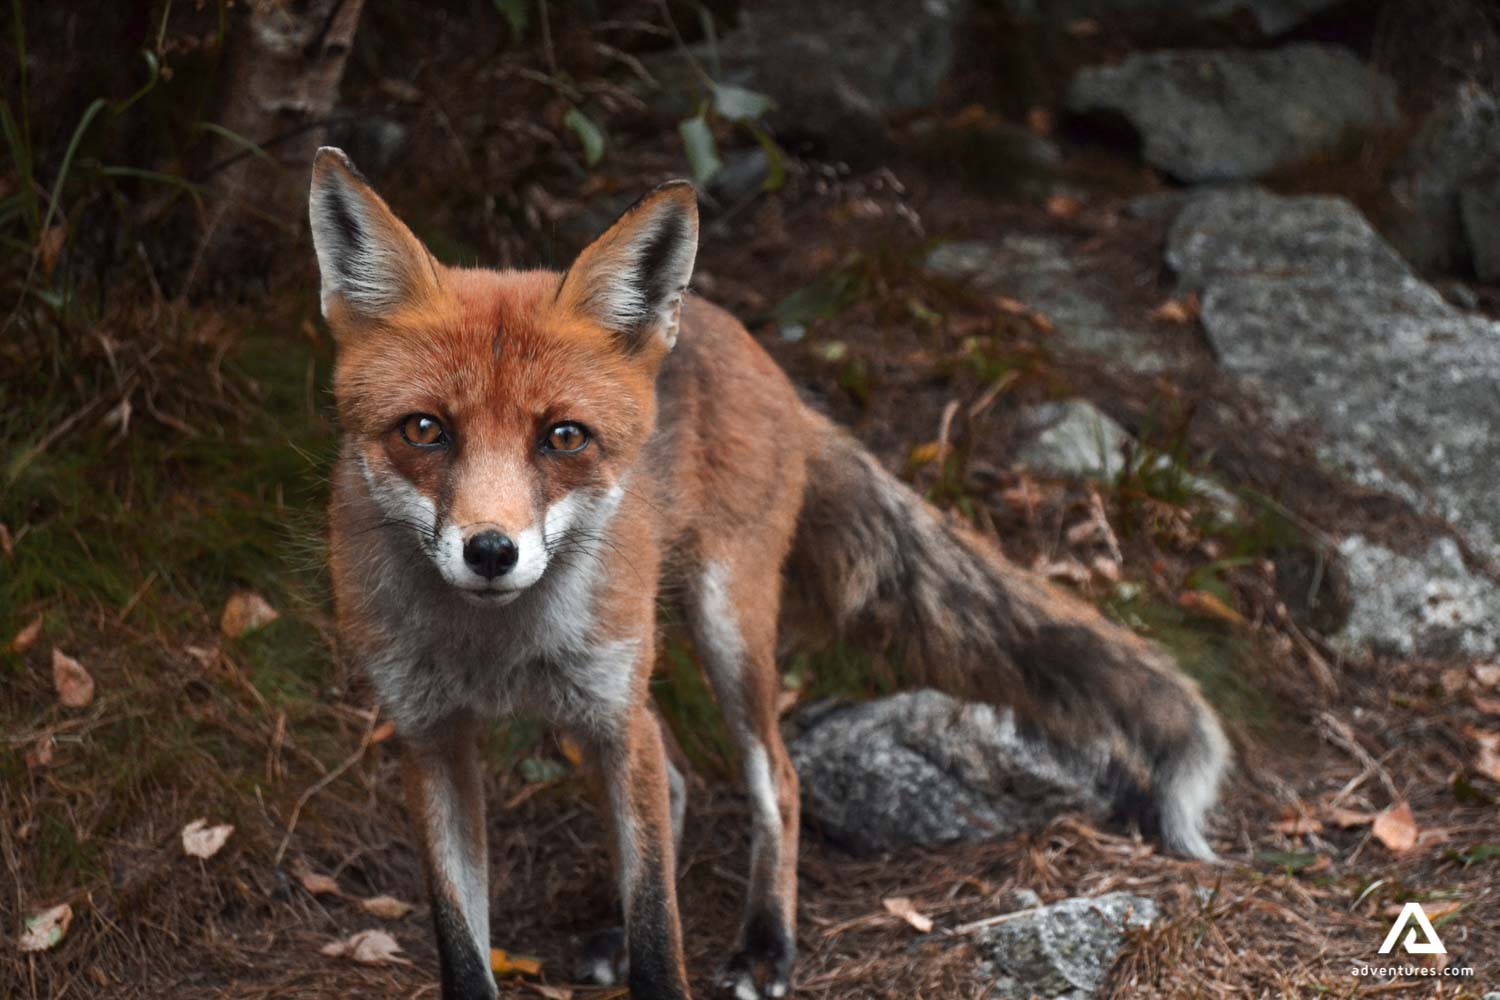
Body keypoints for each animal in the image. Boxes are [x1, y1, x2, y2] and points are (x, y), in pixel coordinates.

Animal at [308, 146, 1229, 1000]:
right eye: (424, 430)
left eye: (563, 437)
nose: (492, 552)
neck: (488, 648)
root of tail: (752, 349)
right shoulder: (430, 738)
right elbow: (464, 948)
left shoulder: (613, 713)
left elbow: (662, 937)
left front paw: (672, 951)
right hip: (608, 696)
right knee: (678, 782)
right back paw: (619, 929)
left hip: (718, 635)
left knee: (775, 781)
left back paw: (765, 945)